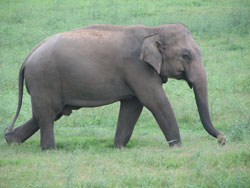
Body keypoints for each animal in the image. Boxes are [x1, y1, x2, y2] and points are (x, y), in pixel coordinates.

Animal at [4, 23, 227, 150]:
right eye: (186, 56)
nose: (222, 139)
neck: (153, 29)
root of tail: (28, 57)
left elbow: (133, 105)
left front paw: (118, 147)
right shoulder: (137, 68)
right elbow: (155, 101)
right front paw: (178, 148)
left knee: (45, 114)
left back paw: (10, 140)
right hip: (44, 79)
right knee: (48, 114)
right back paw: (49, 150)